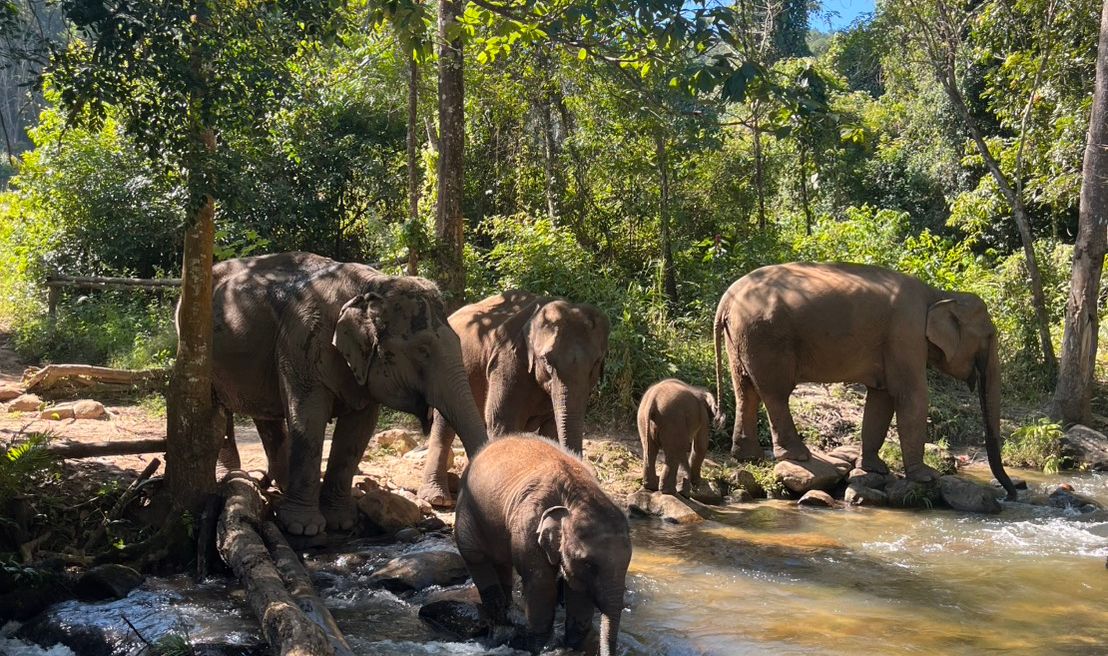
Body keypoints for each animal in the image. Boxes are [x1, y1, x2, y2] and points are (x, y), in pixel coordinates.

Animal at [199, 252, 488, 535]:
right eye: (422, 351)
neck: (371, 285)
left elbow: (358, 430)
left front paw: (341, 522)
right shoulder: (303, 341)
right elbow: (308, 418)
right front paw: (303, 528)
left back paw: (280, 484)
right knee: (219, 410)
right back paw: (231, 477)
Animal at [418, 290, 610, 507]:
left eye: (597, 362)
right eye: (547, 361)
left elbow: (552, 430)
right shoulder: (507, 362)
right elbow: (502, 421)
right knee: (445, 427)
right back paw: (437, 498)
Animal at [455, 434, 631, 656]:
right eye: (589, 564)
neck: (576, 495)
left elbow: (578, 588)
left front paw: (575, 645)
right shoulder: (529, 524)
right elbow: (541, 583)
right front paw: (541, 647)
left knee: (502, 563)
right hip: (467, 511)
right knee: (475, 557)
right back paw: (501, 624)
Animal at [713, 262, 1018, 500]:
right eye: (989, 337)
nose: (1011, 494)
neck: (939, 294)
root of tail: (726, 299)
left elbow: (881, 399)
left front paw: (875, 469)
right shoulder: (905, 333)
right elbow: (912, 396)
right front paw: (926, 477)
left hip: (741, 337)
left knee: (745, 390)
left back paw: (748, 457)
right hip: (765, 336)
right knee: (775, 393)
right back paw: (797, 457)